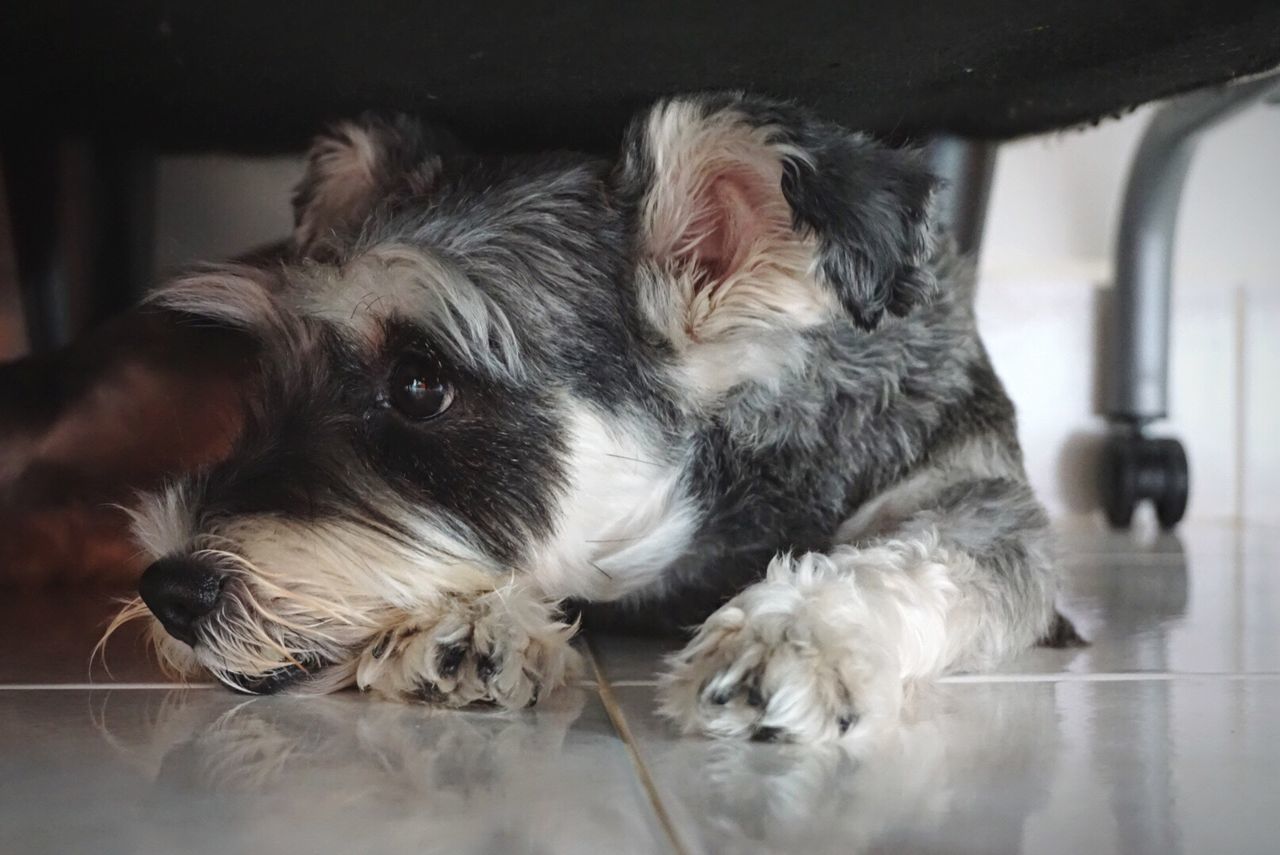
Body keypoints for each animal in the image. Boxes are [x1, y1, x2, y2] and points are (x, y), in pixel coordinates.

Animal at [97, 93, 1070, 742]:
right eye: (273, 372)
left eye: (420, 384)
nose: (170, 591)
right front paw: (464, 626)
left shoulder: (978, 500)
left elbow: (920, 558)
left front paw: (797, 637)